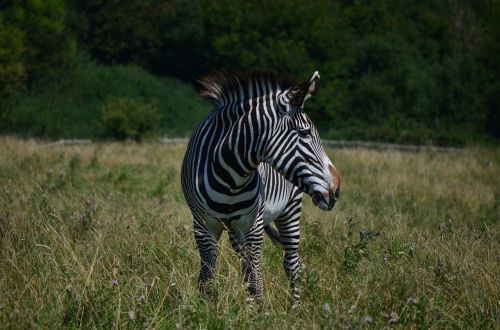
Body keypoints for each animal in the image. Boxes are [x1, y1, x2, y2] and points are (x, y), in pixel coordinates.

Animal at [182, 70, 342, 310]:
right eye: (304, 133)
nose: (336, 189)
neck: (230, 175)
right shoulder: (203, 226)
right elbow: (207, 276)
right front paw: (204, 310)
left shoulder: (253, 226)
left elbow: (255, 277)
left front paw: (259, 313)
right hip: (234, 229)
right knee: (245, 264)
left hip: (289, 210)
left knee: (291, 263)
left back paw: (294, 310)